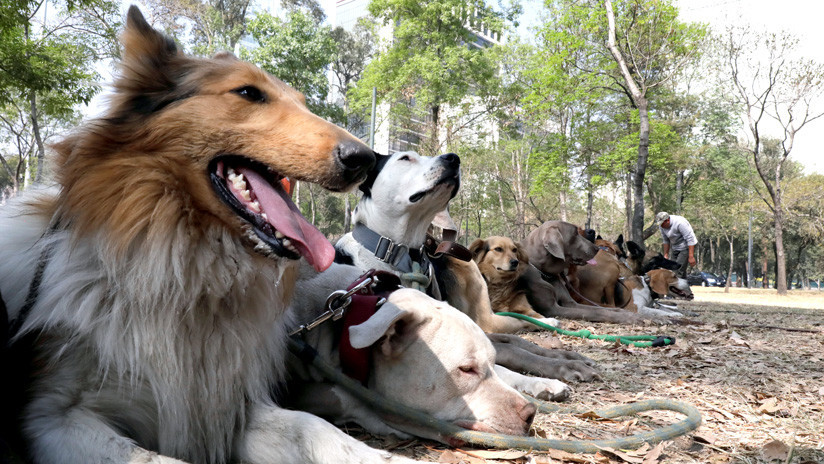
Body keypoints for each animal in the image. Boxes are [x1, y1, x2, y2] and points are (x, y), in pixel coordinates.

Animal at [0, 7, 424, 464]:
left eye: (303, 104)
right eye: (248, 93)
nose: (364, 160)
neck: (186, 277)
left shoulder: (228, 404)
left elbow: (317, 429)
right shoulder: (55, 417)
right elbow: (152, 458)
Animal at [286, 260, 568, 442]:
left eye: (489, 361)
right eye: (466, 370)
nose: (530, 414)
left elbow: (505, 371)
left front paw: (544, 383)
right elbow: (344, 395)